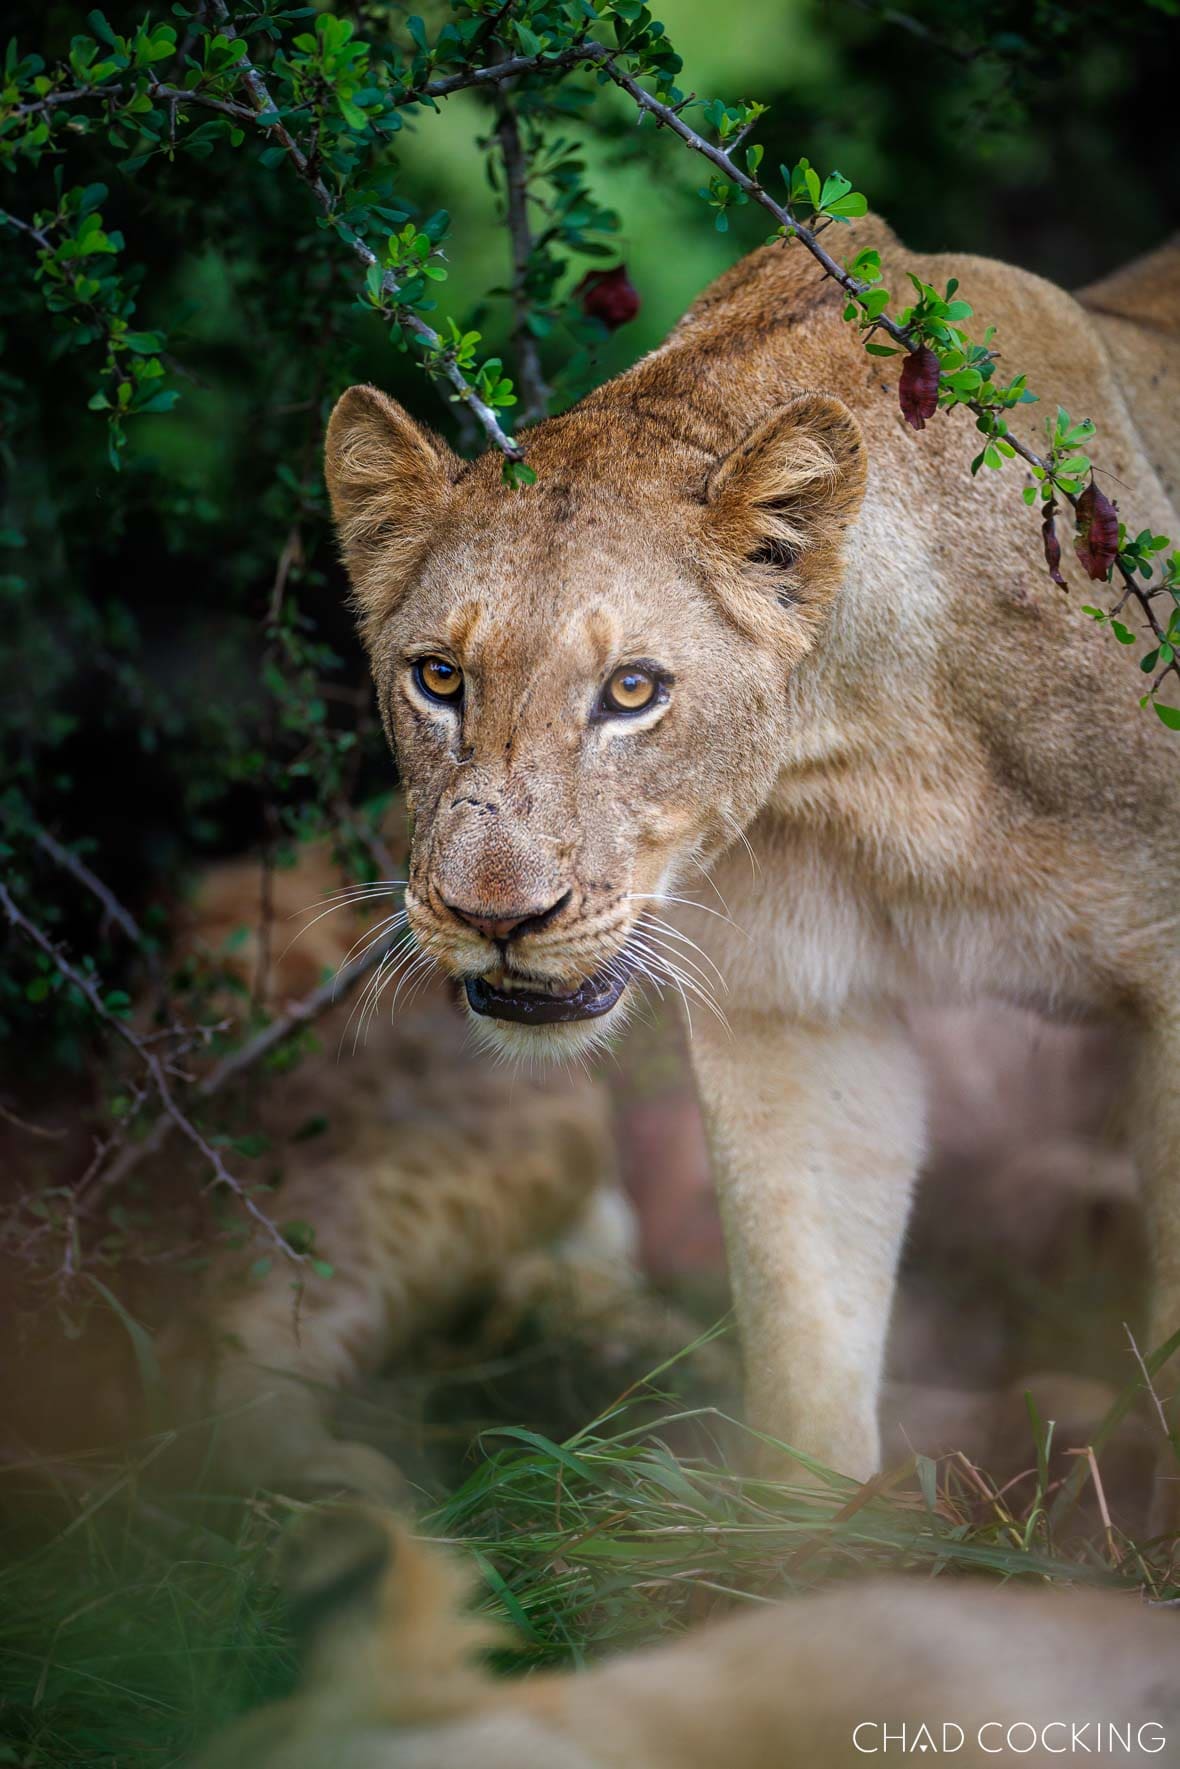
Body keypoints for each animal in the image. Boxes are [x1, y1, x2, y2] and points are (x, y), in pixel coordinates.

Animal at [322, 213, 1180, 1513]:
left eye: (632, 691)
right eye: (437, 677)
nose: (497, 915)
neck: (875, 760)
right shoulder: (797, 1012)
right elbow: (803, 1341)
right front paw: (808, 1542)